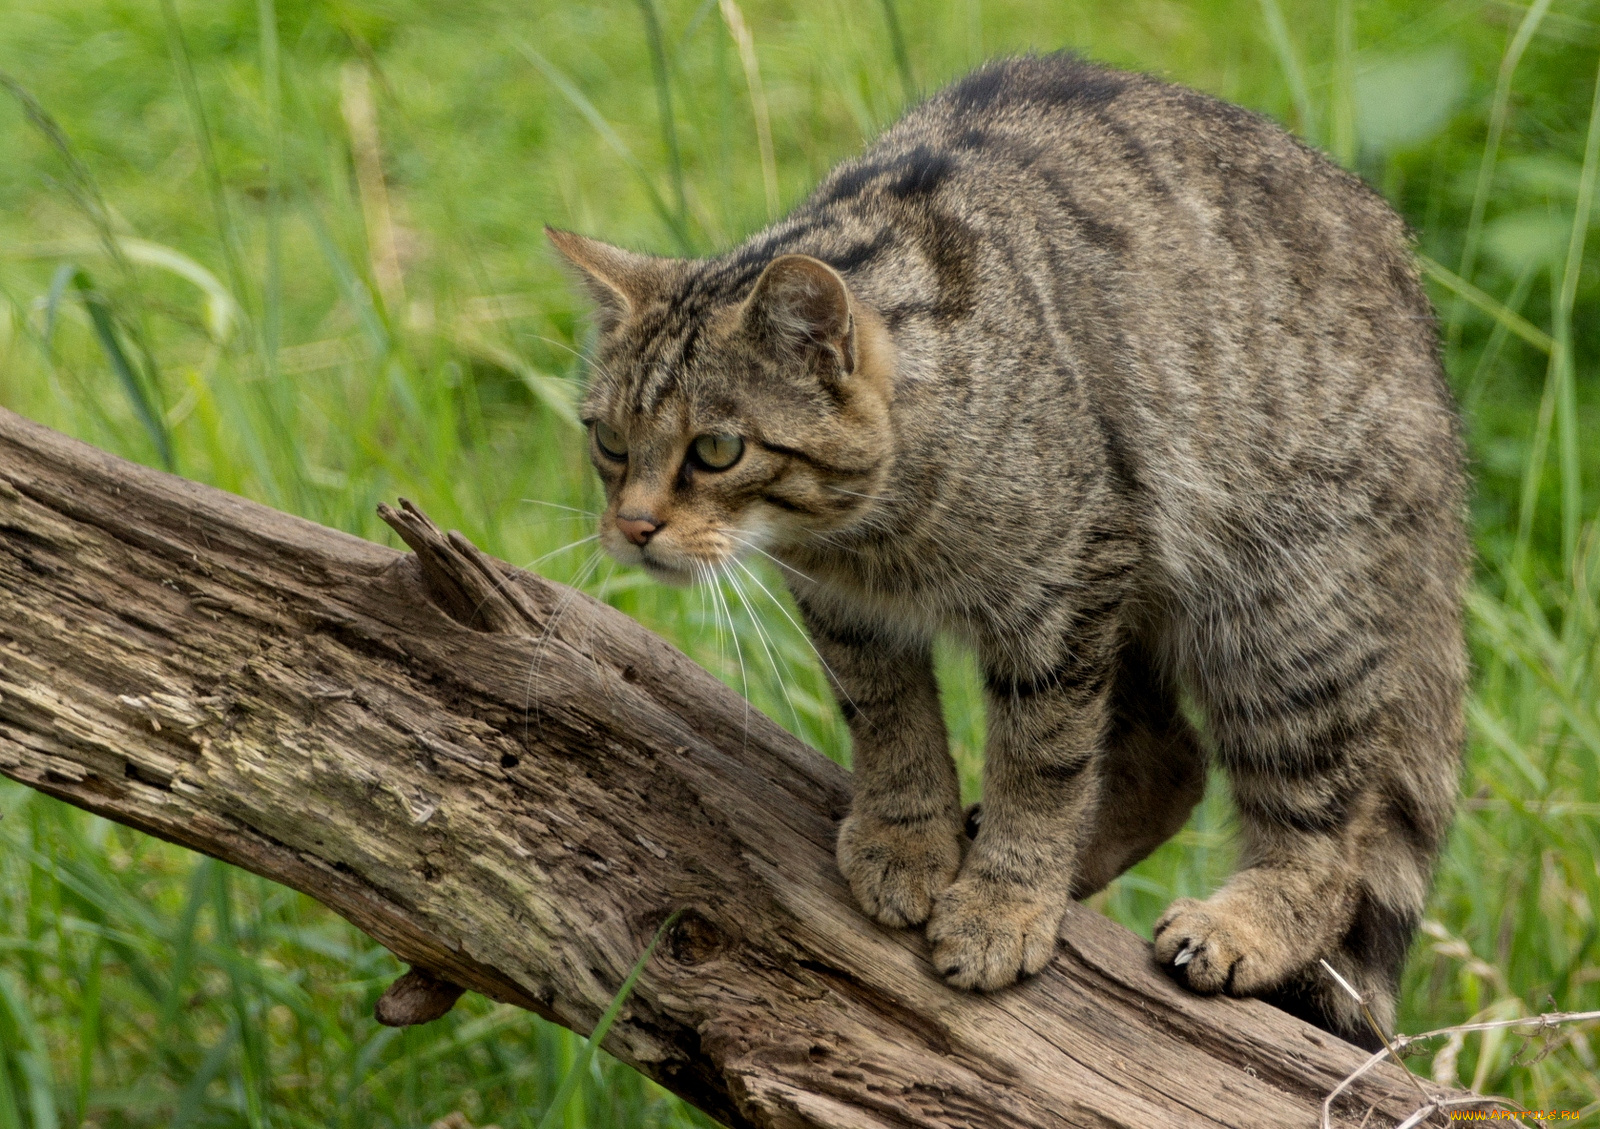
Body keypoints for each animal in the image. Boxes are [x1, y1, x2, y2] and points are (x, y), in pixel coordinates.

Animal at [550, 55, 1465, 1049]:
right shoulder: (854, 614)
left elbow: (1043, 760)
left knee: (1328, 843)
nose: (632, 525)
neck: (873, 533)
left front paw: (1004, 900)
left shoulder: (1065, 592)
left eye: (717, 449)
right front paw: (909, 840)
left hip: (1281, 619)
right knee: (1171, 760)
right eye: (607, 441)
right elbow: (891, 722)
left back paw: (1238, 922)